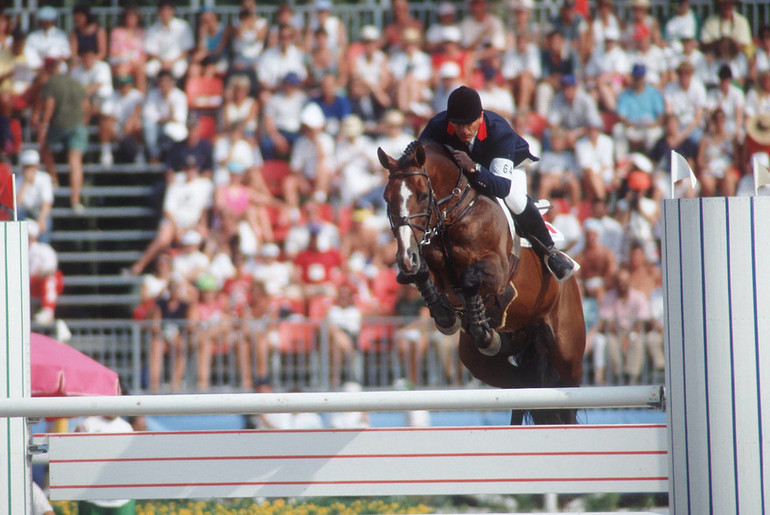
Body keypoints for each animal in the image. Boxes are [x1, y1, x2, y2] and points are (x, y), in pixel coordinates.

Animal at [376, 140, 584, 424]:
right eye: (387, 198)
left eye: (422, 195)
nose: (406, 256)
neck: (453, 215)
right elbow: (419, 274)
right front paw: (448, 317)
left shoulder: (498, 271)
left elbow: (469, 278)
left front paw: (479, 325)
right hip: (482, 361)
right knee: (522, 385)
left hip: (566, 353)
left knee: (566, 401)